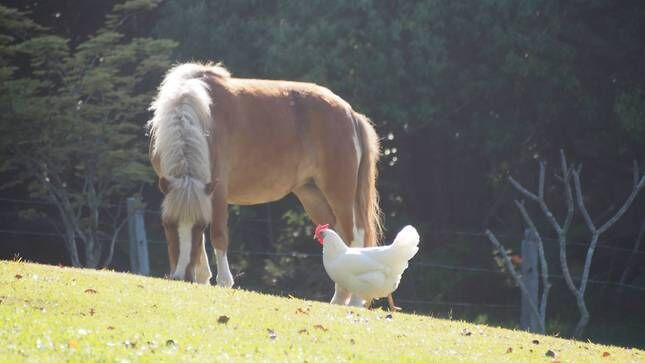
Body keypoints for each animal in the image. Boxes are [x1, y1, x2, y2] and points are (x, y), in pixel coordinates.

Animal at [148, 63, 380, 308]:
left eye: (201, 226)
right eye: (166, 224)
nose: (182, 276)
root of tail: (350, 114)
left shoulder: (218, 190)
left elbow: (218, 235)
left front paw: (223, 282)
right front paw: (202, 278)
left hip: (340, 196)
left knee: (354, 236)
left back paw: (354, 301)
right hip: (313, 196)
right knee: (338, 236)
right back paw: (339, 299)